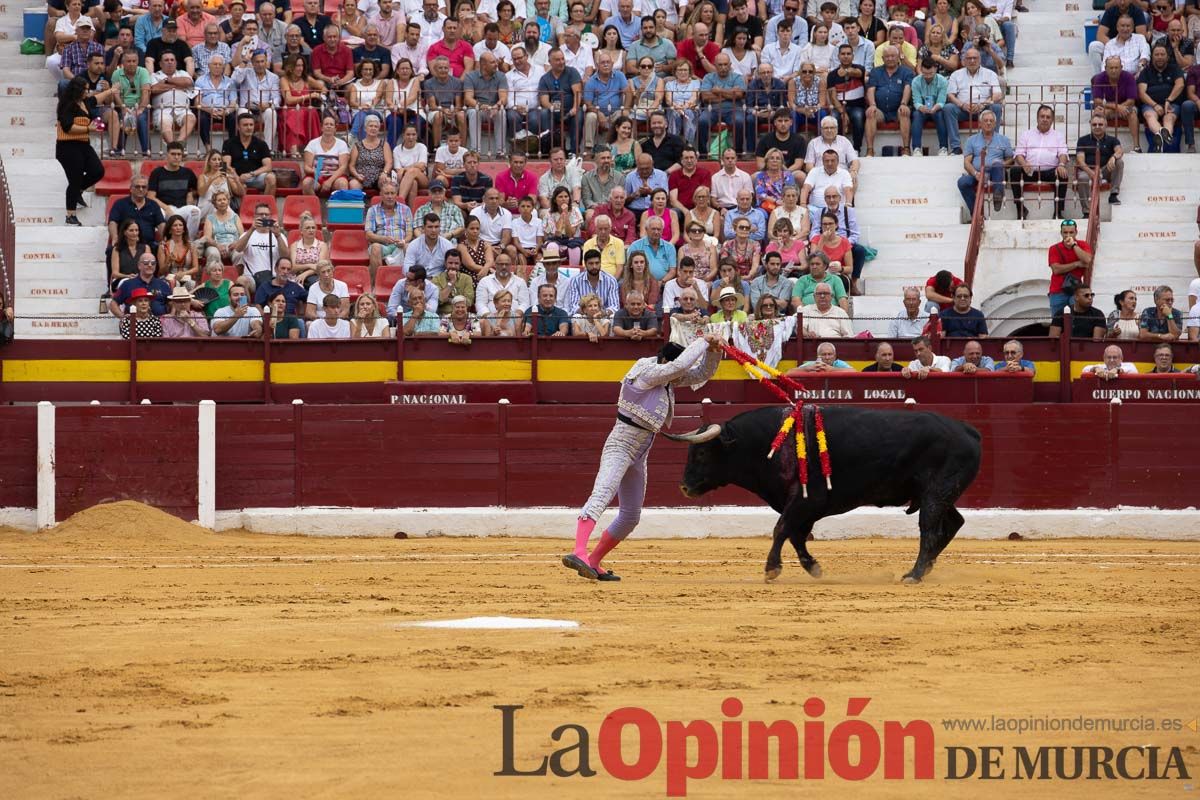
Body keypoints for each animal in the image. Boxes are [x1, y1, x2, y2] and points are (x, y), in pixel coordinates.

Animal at [667, 407, 984, 582]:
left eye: (702, 452)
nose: (684, 487)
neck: (767, 443)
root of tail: (968, 430)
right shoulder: (804, 505)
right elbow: (795, 535)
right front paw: (813, 568)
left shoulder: (807, 500)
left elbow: (782, 529)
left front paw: (771, 569)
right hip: (939, 494)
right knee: (953, 523)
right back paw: (926, 568)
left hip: (936, 492)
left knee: (929, 529)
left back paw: (914, 575)